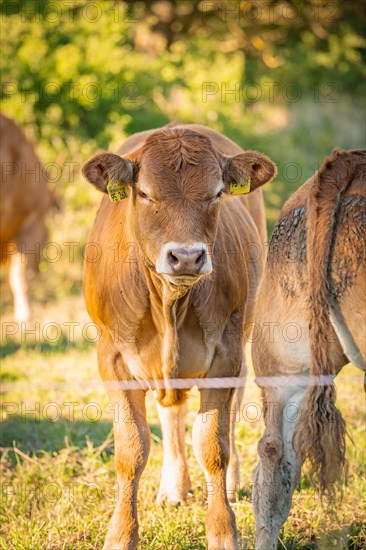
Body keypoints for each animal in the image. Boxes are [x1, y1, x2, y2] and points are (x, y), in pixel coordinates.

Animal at [81, 125, 276, 550]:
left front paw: (222, 532)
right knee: (170, 413)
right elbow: (131, 449)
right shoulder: (112, 357)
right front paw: (121, 534)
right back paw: (173, 488)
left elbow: (213, 445)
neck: (169, 305)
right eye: (144, 193)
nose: (186, 257)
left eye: (217, 193)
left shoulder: (225, 354)